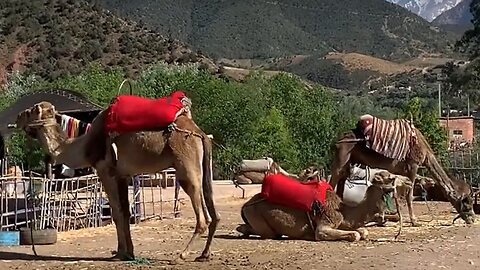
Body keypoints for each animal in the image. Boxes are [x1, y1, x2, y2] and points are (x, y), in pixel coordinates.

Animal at [13, 98, 219, 262]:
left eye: (31, 110)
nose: (17, 117)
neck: (85, 146)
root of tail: (200, 133)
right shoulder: (122, 175)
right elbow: (125, 213)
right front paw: (129, 253)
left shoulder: (106, 171)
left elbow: (116, 213)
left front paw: (120, 253)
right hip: (202, 166)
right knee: (212, 209)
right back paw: (204, 254)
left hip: (186, 161)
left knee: (202, 214)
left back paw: (182, 255)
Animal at [234, 169, 396, 240]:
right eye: (387, 178)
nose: (394, 182)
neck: (343, 211)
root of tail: (244, 206)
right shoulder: (325, 223)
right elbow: (355, 234)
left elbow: (363, 231)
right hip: (256, 216)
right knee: (265, 232)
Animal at [330, 114, 476, 226]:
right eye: (466, 202)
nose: (472, 219)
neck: (425, 153)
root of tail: (338, 140)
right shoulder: (413, 165)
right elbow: (408, 194)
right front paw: (414, 221)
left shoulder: (399, 171)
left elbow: (394, 192)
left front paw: (387, 218)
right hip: (343, 155)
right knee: (334, 178)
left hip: (350, 160)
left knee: (342, 180)